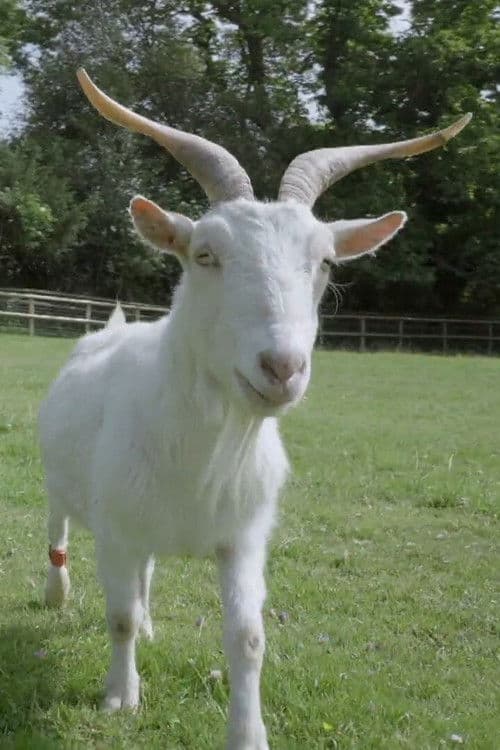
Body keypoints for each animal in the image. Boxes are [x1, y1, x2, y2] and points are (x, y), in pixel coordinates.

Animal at [39, 68, 470, 749]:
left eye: (325, 261)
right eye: (205, 254)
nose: (282, 367)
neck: (201, 451)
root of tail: (113, 327)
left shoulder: (242, 535)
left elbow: (246, 638)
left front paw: (248, 733)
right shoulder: (116, 528)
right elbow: (117, 618)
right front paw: (119, 697)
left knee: (147, 577)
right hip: (63, 483)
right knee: (58, 527)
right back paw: (56, 592)